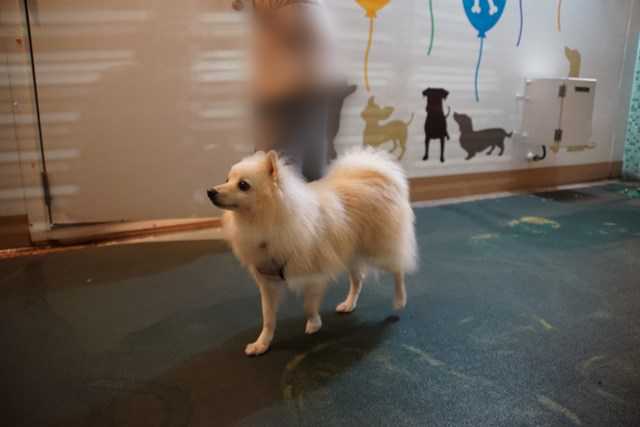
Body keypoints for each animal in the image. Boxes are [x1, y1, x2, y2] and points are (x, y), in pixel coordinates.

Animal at [208, 149, 418, 356]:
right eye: (227, 179)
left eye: (243, 185)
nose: (211, 191)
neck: (266, 223)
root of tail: (378, 175)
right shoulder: (268, 283)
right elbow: (267, 318)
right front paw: (261, 344)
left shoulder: (317, 275)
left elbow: (307, 306)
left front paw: (314, 323)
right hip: (351, 254)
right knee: (358, 279)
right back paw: (349, 304)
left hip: (378, 251)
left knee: (398, 271)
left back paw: (400, 300)